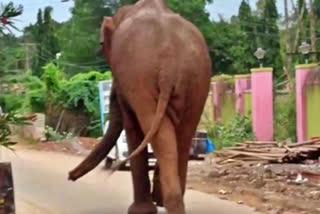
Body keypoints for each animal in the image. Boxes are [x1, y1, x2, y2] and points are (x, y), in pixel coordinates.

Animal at [68, 0, 211, 213]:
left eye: (102, 44)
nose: (69, 176)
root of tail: (168, 57)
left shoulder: (127, 81)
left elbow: (131, 125)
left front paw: (140, 210)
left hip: (141, 77)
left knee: (155, 129)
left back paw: (167, 202)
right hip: (197, 78)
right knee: (184, 133)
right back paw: (170, 201)